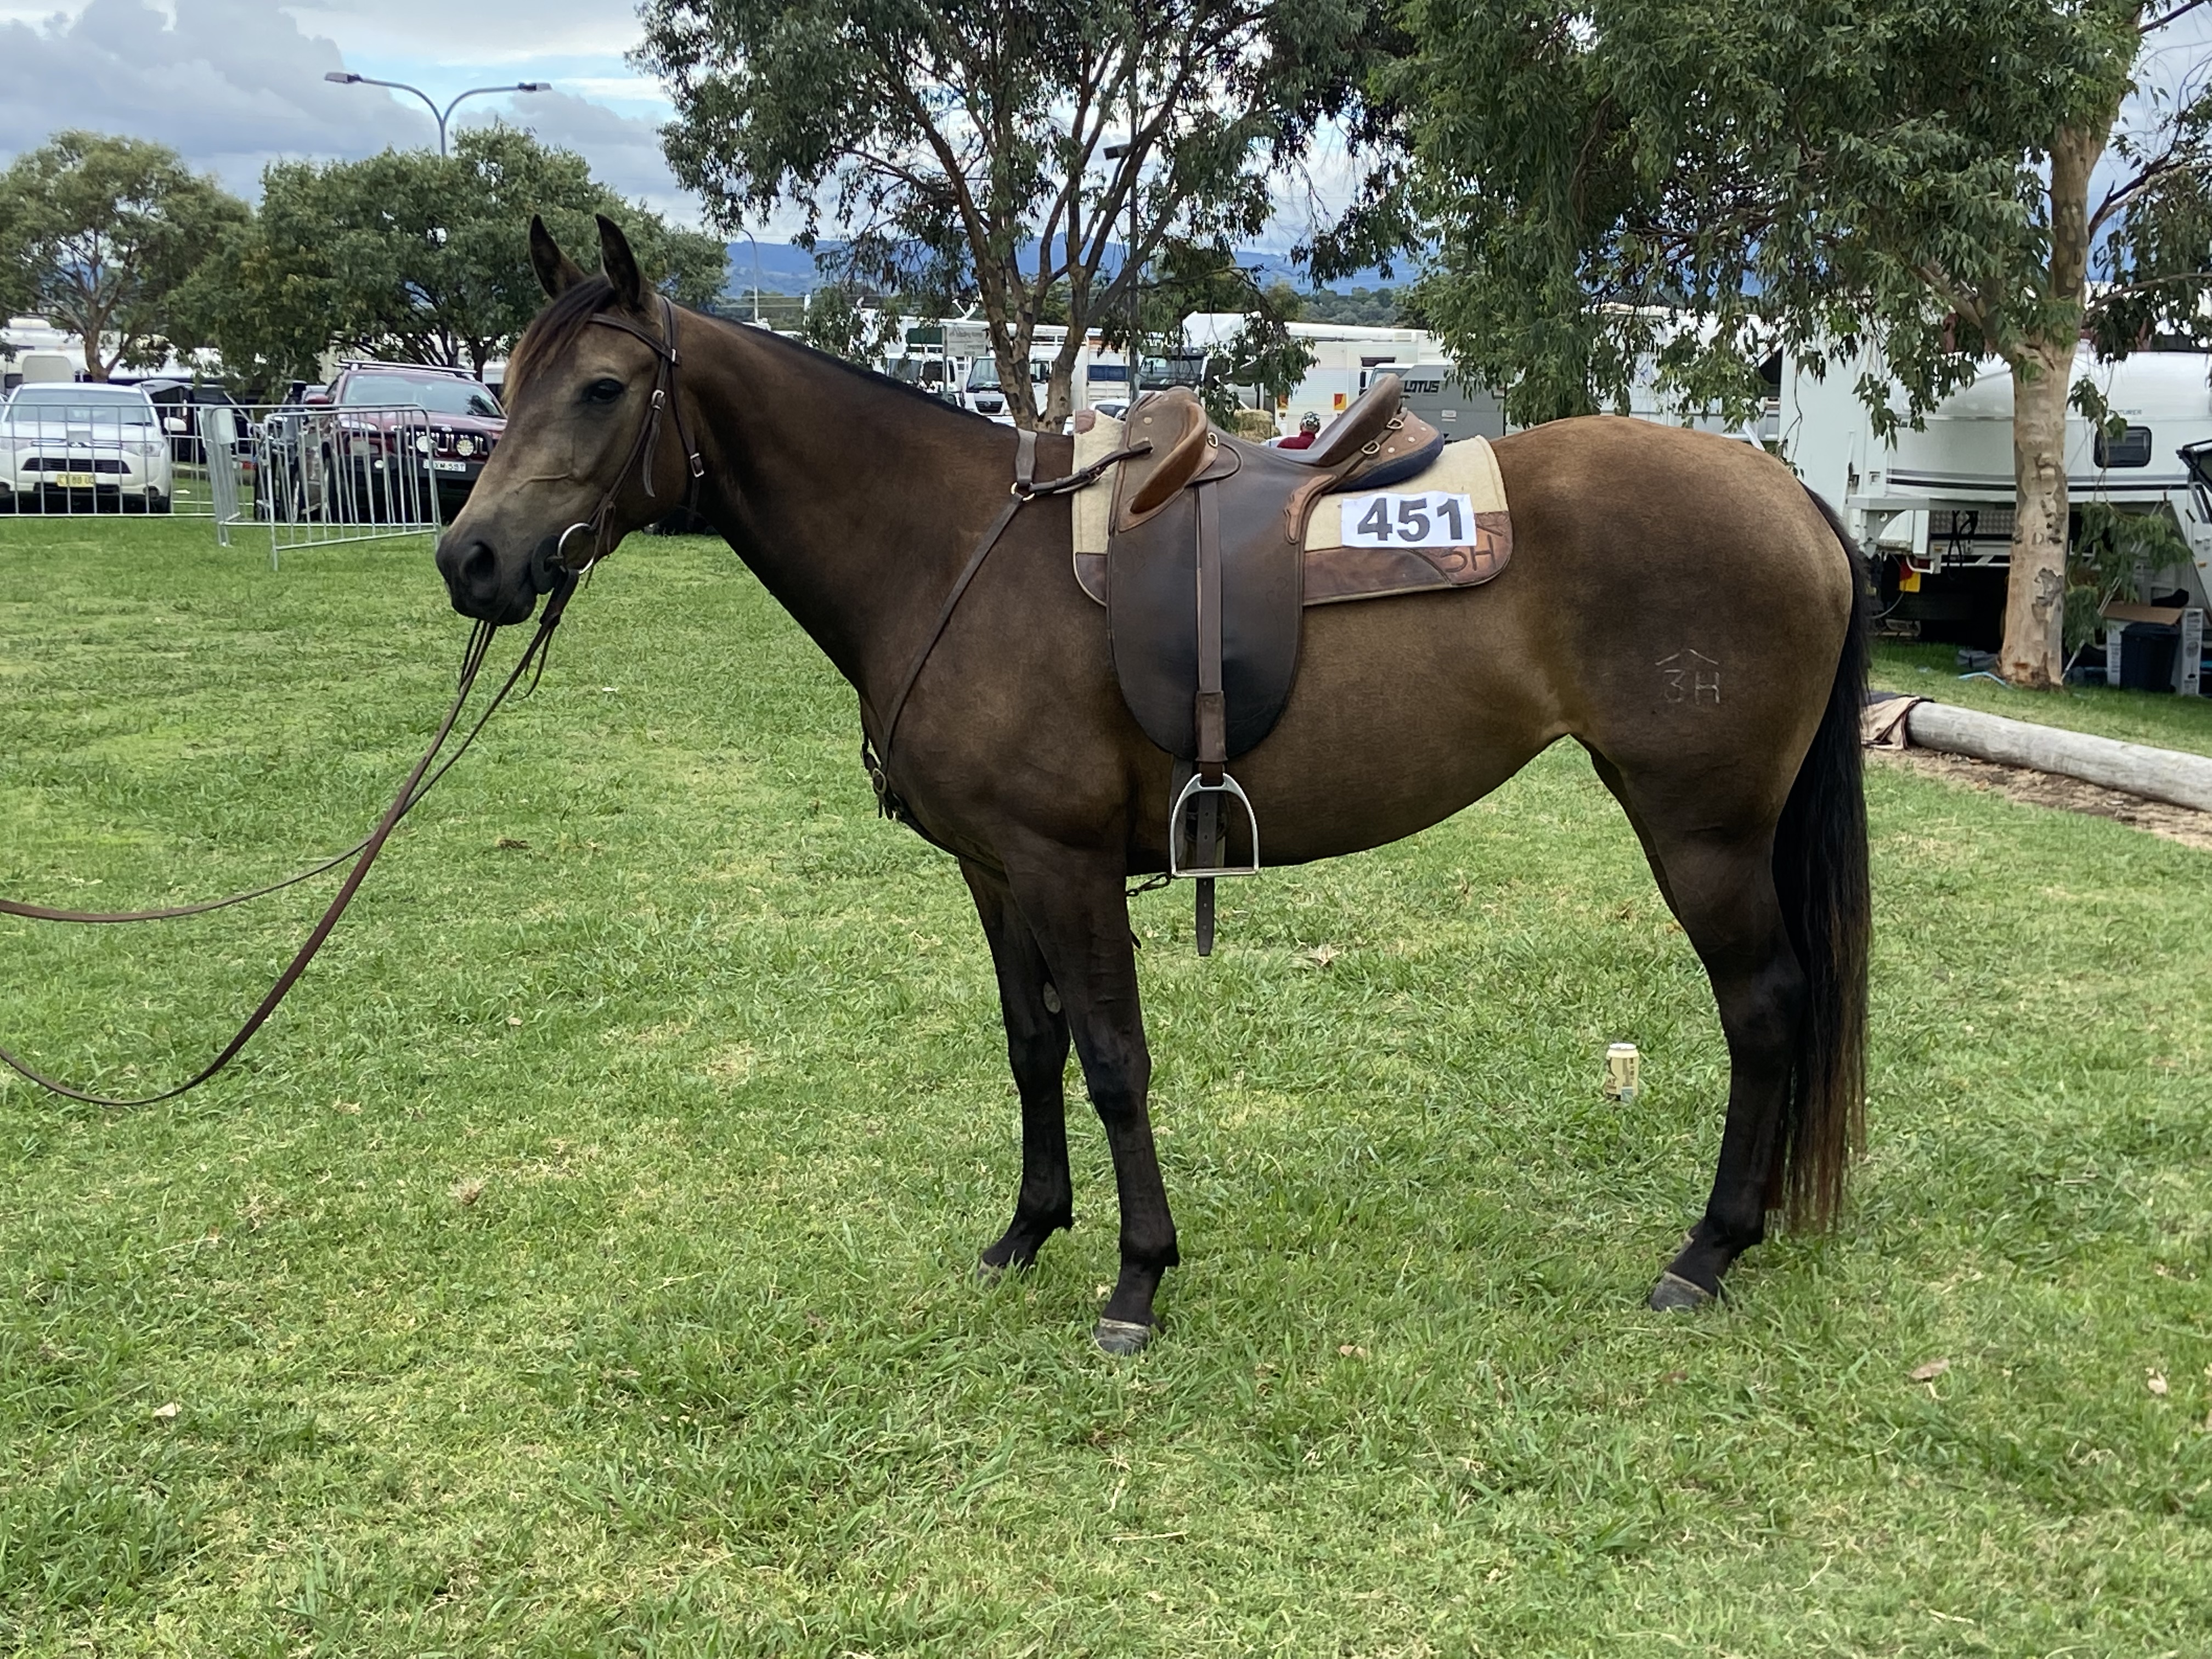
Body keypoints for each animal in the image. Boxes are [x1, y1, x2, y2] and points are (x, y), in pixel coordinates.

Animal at [435, 215, 1869, 1355]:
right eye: (506, 382)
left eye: (605, 388)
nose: (472, 559)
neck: (952, 550)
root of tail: (1787, 491)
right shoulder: (995, 870)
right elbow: (1032, 1048)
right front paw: (1027, 1233)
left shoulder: (1065, 868)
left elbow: (1115, 1060)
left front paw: (1136, 1280)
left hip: (1701, 832)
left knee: (1765, 1009)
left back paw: (1707, 1252)